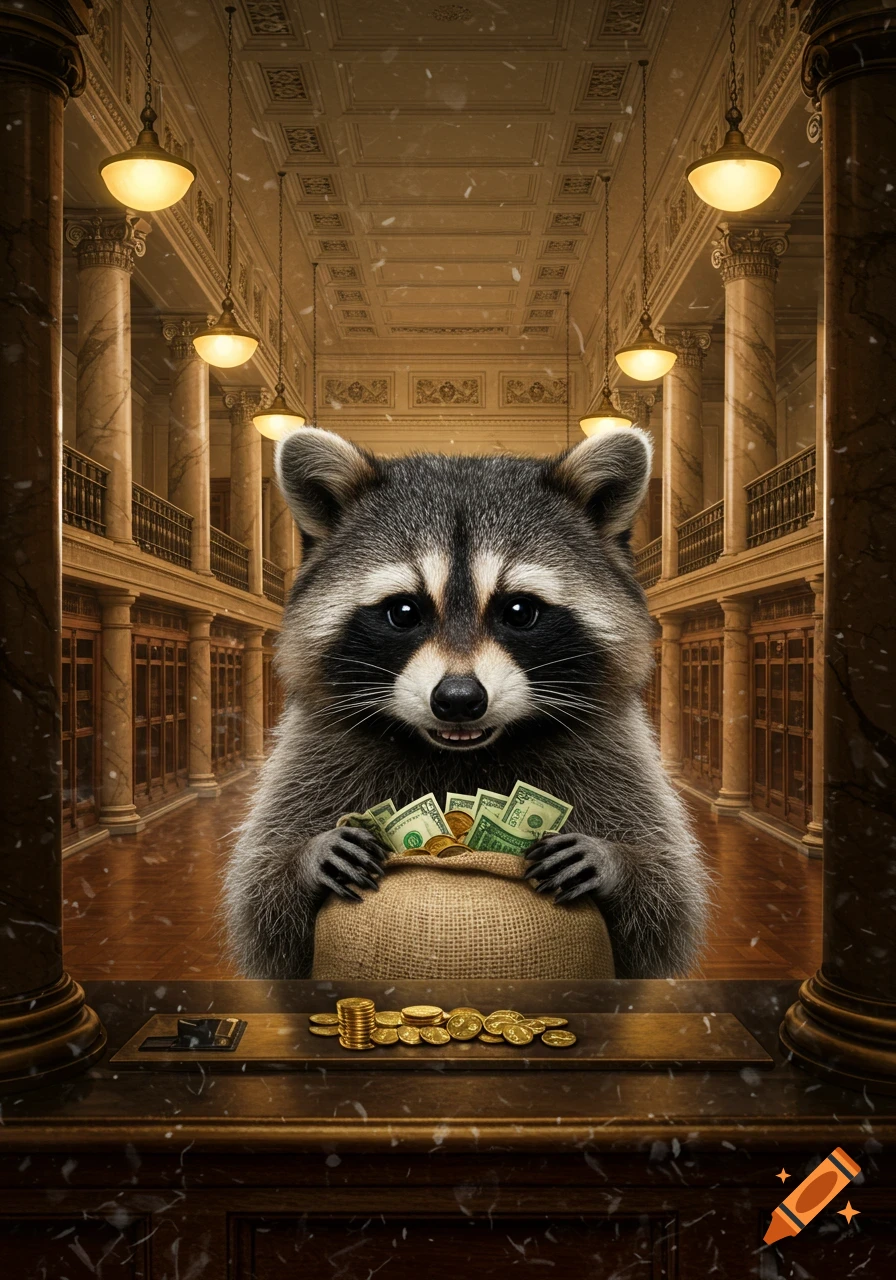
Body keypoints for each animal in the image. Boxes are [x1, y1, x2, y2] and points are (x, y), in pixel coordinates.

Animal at [224, 426, 710, 981]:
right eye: (403, 611)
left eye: (519, 611)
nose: (458, 700)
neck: (462, 756)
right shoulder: (316, 750)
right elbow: (261, 902)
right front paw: (307, 856)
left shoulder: (614, 750)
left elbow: (667, 900)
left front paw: (614, 860)